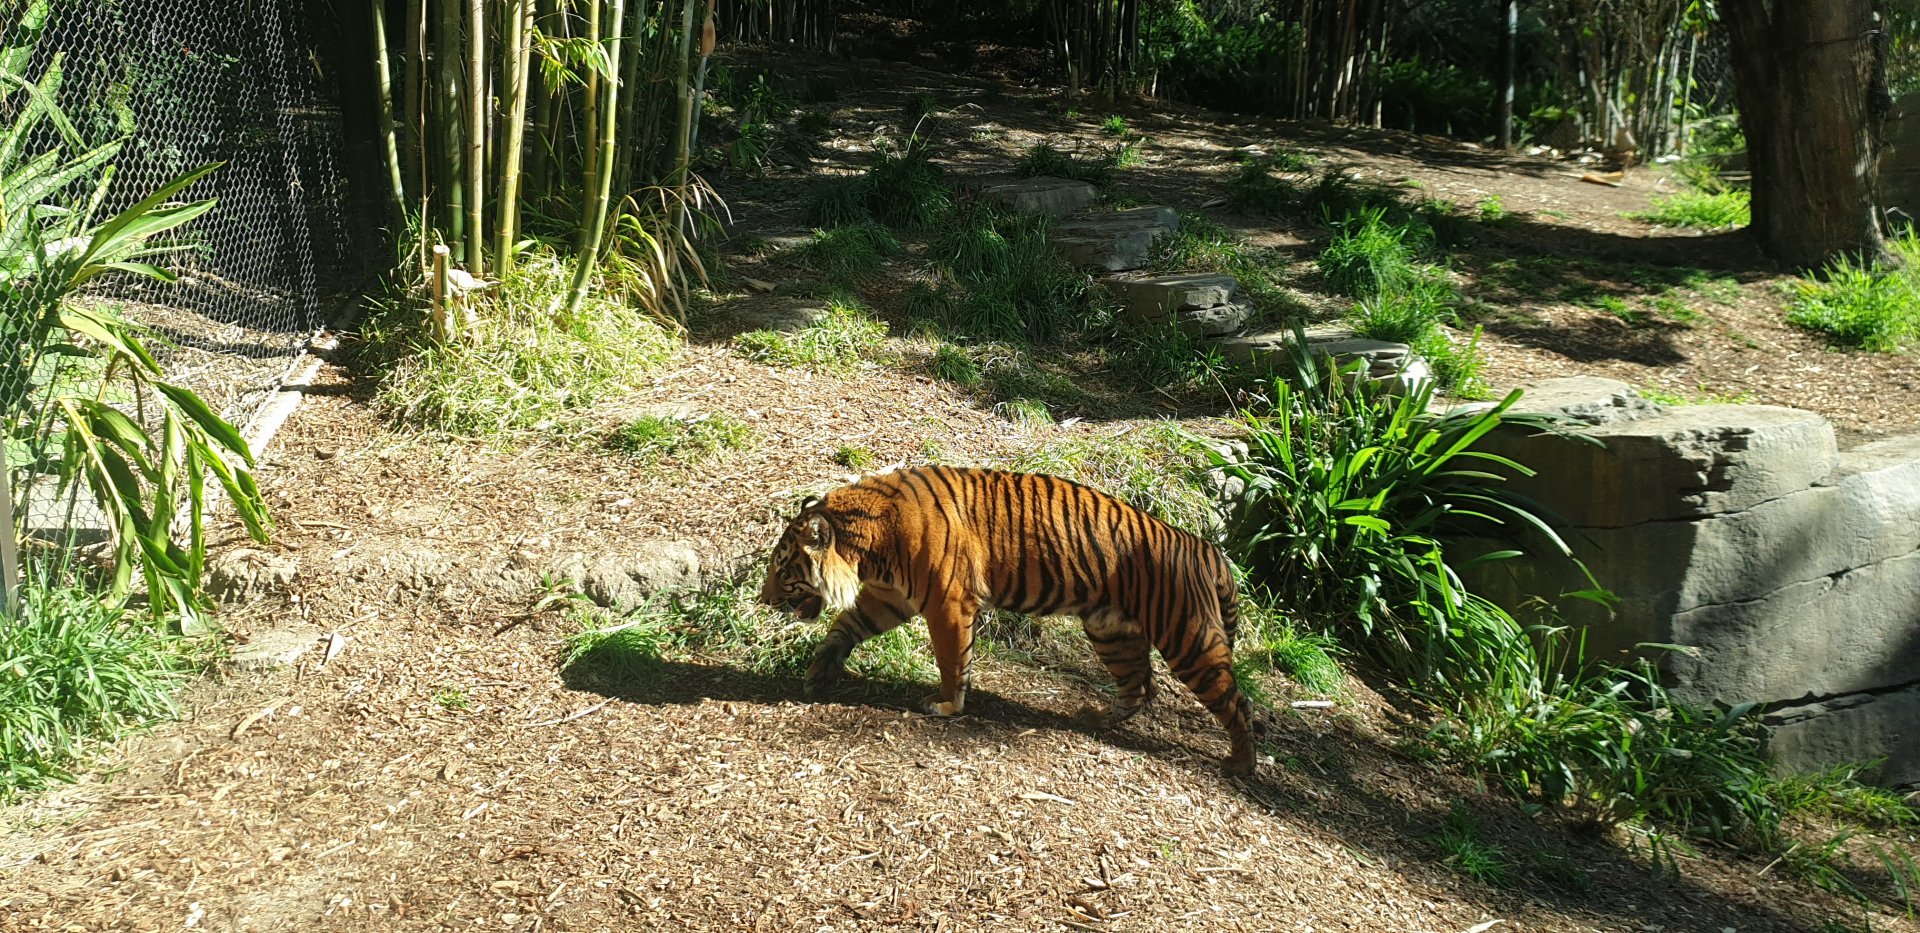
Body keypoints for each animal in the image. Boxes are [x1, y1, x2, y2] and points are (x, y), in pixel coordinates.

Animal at [759, 465, 1255, 776]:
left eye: (783, 570)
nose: (763, 600)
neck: (869, 547)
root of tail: (1207, 547)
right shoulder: (889, 598)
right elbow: (844, 628)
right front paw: (819, 673)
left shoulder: (948, 603)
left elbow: (951, 659)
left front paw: (946, 706)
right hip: (1111, 631)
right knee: (1141, 686)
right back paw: (1096, 718)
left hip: (1188, 639)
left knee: (1237, 702)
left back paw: (1241, 765)